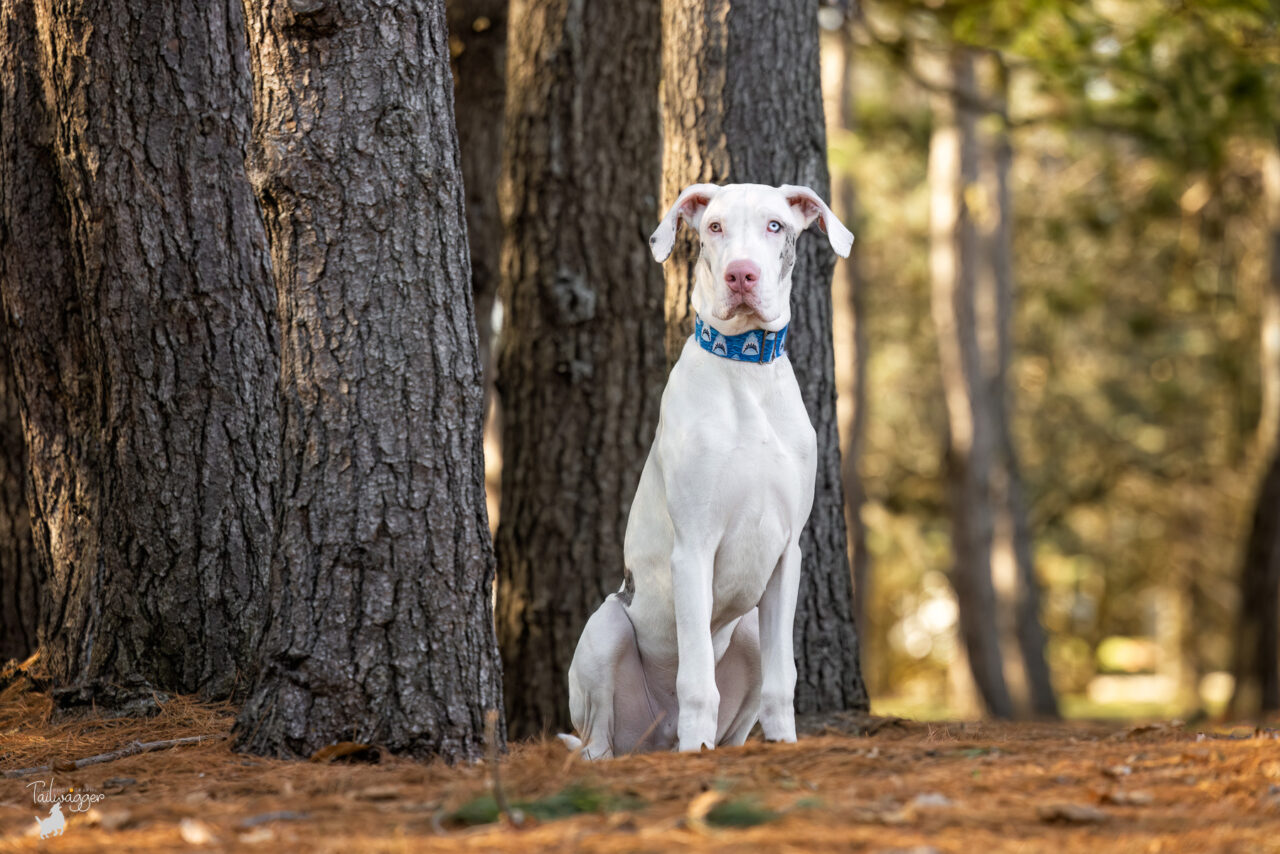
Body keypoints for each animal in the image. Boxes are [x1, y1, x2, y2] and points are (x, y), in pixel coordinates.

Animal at [558, 184, 849, 757]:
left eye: (776, 226)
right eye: (714, 227)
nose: (741, 275)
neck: (746, 369)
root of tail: (655, 738)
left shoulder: (788, 554)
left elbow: (784, 679)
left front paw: (785, 742)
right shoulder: (694, 547)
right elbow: (695, 677)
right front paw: (697, 749)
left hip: (750, 633)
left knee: (740, 715)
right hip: (607, 628)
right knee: (597, 740)